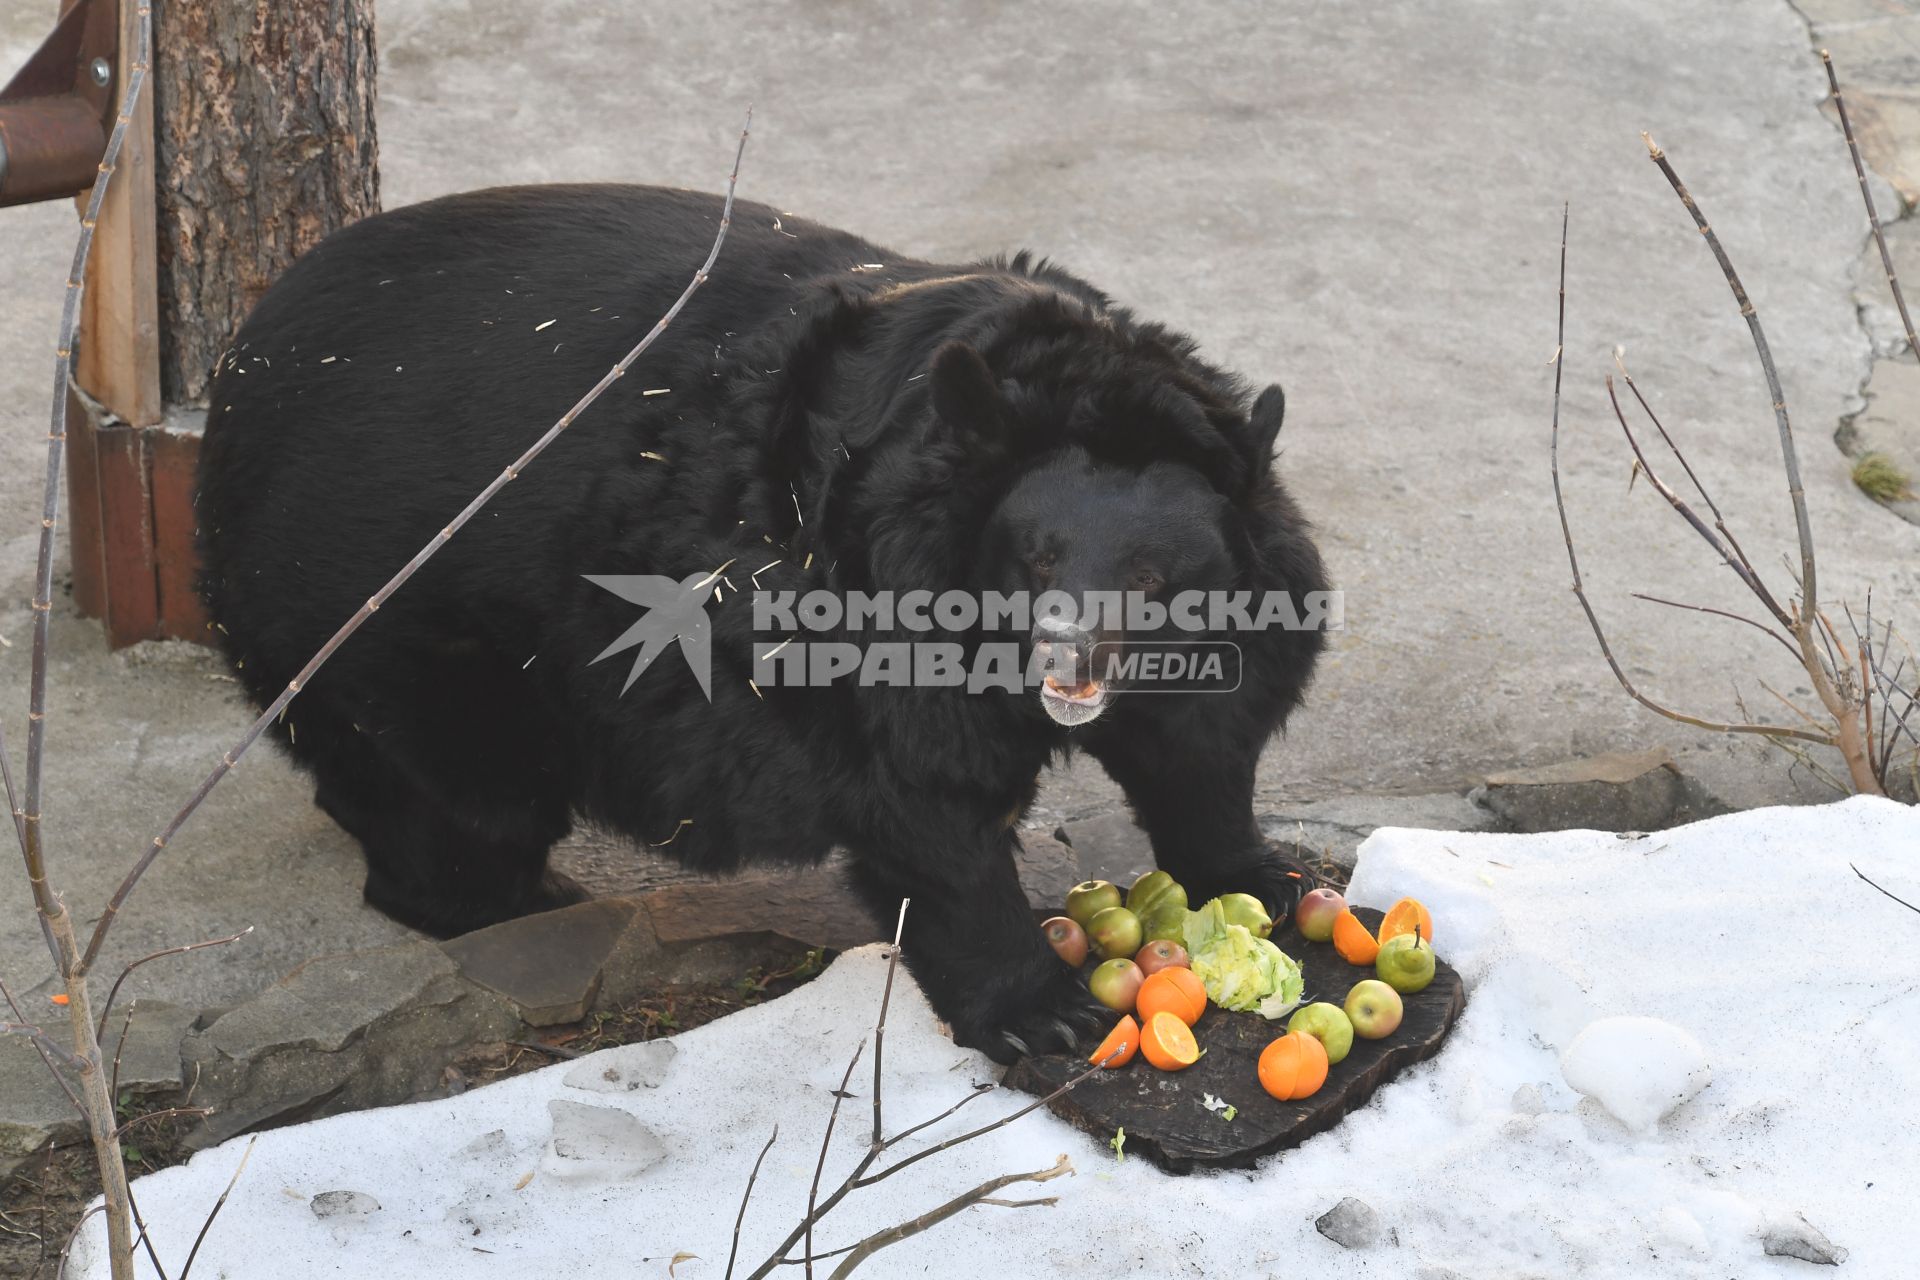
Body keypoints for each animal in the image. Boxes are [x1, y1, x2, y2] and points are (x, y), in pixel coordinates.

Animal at [198, 182, 1336, 1059]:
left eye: (1150, 577)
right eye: (1038, 558)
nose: (1065, 665)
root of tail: (242, 372)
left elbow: (1201, 746)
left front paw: (1261, 877)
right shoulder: (874, 605)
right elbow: (928, 802)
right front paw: (1038, 1011)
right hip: (393, 617)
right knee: (459, 801)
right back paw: (526, 898)